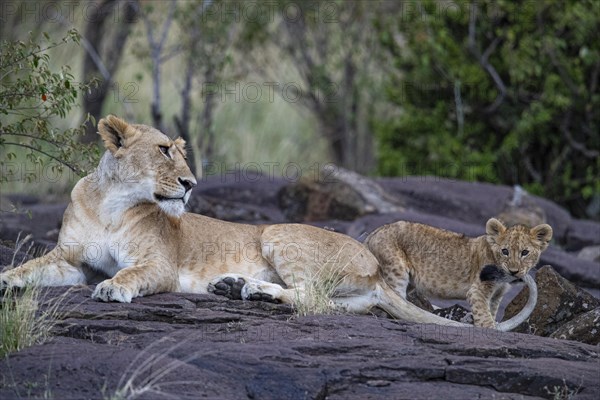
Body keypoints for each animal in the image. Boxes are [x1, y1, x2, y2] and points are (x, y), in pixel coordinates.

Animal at [0, 114, 536, 330]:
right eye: (163, 150)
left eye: (179, 152)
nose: (191, 183)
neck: (113, 202)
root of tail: (375, 263)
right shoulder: (71, 258)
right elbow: (31, 268)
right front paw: (6, 278)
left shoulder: (160, 266)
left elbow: (130, 273)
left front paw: (113, 288)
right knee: (333, 304)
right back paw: (236, 287)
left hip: (279, 233)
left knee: (311, 297)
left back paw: (248, 289)